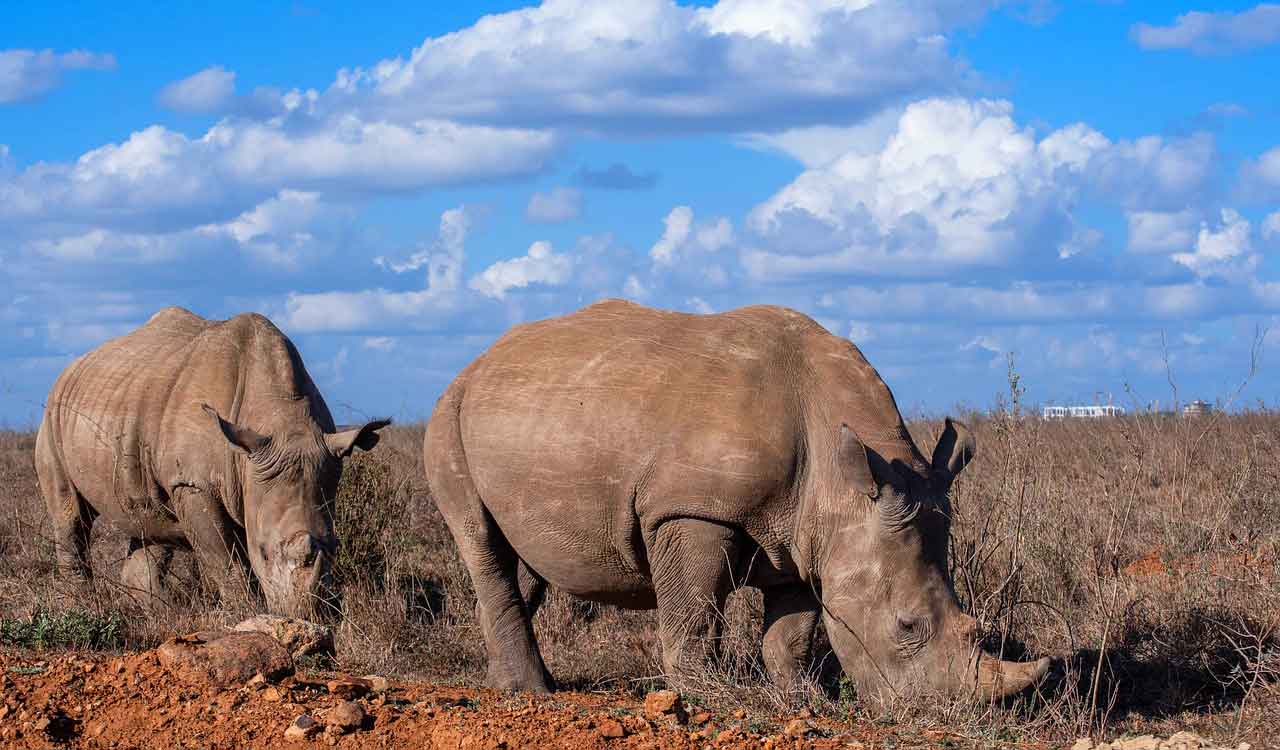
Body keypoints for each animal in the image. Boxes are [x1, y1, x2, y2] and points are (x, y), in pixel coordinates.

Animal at [35, 307, 389, 617]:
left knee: (149, 520)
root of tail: (70, 370)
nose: (309, 614)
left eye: (336, 545)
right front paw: (248, 614)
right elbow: (226, 559)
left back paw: (161, 615)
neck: (283, 420)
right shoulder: (193, 482)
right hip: (52, 418)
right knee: (70, 515)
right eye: (263, 551)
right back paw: (83, 609)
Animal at [425, 299, 1049, 700]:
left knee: (522, 558)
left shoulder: (804, 531)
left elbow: (792, 630)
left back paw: (513, 682)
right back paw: (531, 694)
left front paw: (801, 699)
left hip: (527, 418)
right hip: (447, 415)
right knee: (481, 540)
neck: (841, 477)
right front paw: (707, 697)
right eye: (906, 627)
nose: (940, 713)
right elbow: (693, 612)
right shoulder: (690, 507)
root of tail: (476, 363)